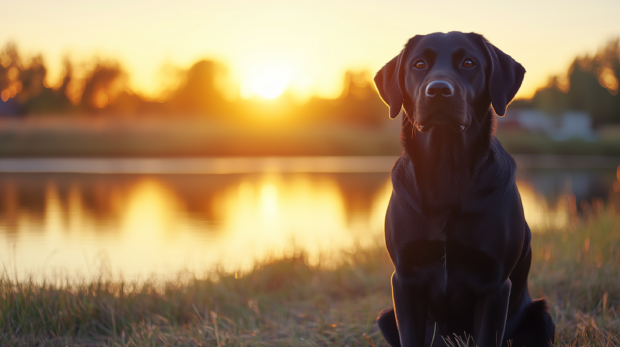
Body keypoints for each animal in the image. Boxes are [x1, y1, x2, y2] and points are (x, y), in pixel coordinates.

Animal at [372, 31, 556, 346]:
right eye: (419, 64)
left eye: (469, 63)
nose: (438, 90)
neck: (447, 170)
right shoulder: (405, 279)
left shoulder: (494, 284)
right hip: (386, 316)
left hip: (543, 318)